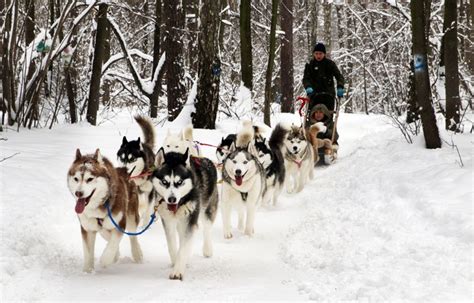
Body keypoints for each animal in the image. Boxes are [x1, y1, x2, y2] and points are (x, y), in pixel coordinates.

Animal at [152, 150, 218, 280]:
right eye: (165, 182)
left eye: (179, 182)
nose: (172, 199)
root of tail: (205, 160)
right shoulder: (168, 221)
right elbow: (171, 244)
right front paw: (175, 262)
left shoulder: (190, 219)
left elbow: (184, 246)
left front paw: (177, 271)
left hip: (206, 209)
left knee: (206, 227)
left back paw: (207, 249)